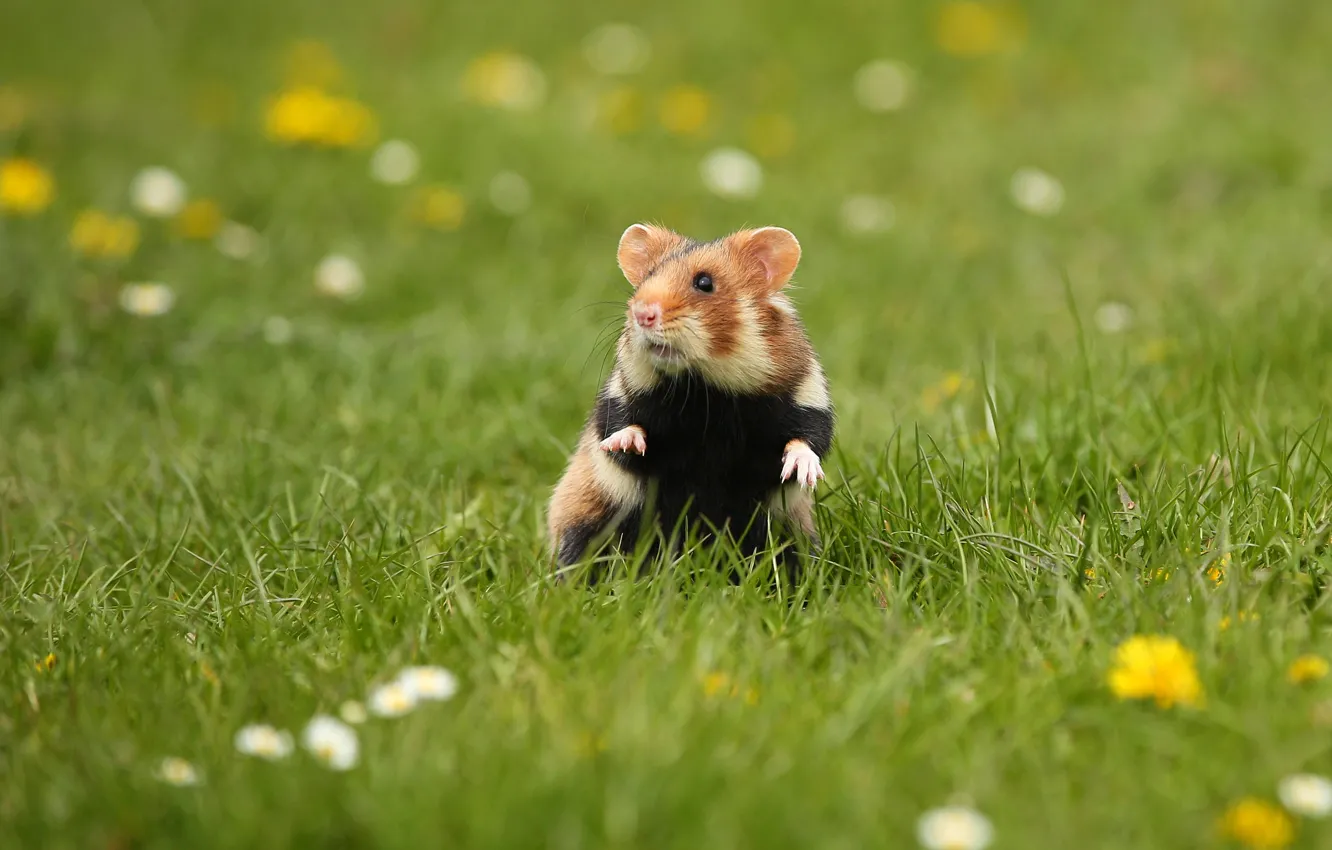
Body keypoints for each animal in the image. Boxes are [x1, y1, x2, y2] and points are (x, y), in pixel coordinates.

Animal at [546, 223, 835, 578]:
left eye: (704, 283)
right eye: (647, 277)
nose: (642, 314)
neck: (704, 390)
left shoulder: (807, 396)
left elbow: (808, 440)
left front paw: (804, 471)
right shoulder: (620, 395)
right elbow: (620, 425)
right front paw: (626, 442)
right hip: (587, 518)